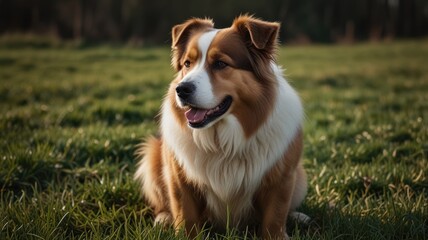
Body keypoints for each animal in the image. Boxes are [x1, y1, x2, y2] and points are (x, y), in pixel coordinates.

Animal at [135, 15, 306, 240]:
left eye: (220, 63)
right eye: (187, 63)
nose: (181, 89)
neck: (222, 141)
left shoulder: (282, 177)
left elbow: (275, 217)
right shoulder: (179, 178)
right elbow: (185, 215)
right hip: (152, 156)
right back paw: (163, 218)